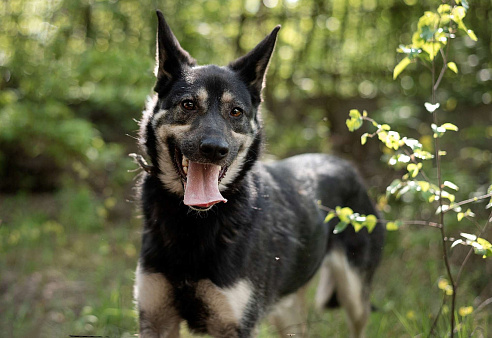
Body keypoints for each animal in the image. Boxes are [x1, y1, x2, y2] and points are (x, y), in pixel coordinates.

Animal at [134, 10, 384, 338]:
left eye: (236, 112)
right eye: (188, 105)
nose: (214, 149)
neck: (194, 224)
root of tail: (346, 166)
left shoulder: (234, 326)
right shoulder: (156, 320)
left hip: (353, 296)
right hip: (287, 310)